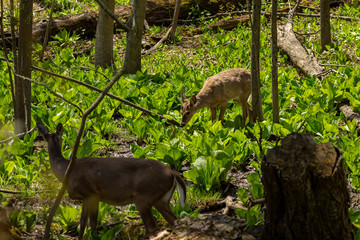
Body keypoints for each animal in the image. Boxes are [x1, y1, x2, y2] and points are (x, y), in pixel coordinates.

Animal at [37, 123, 187, 239]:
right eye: (46, 137)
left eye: (60, 137)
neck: (67, 171)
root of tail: (173, 172)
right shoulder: (86, 198)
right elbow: (83, 223)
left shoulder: (93, 193)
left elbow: (92, 224)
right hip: (162, 199)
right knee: (174, 220)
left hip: (145, 196)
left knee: (152, 226)